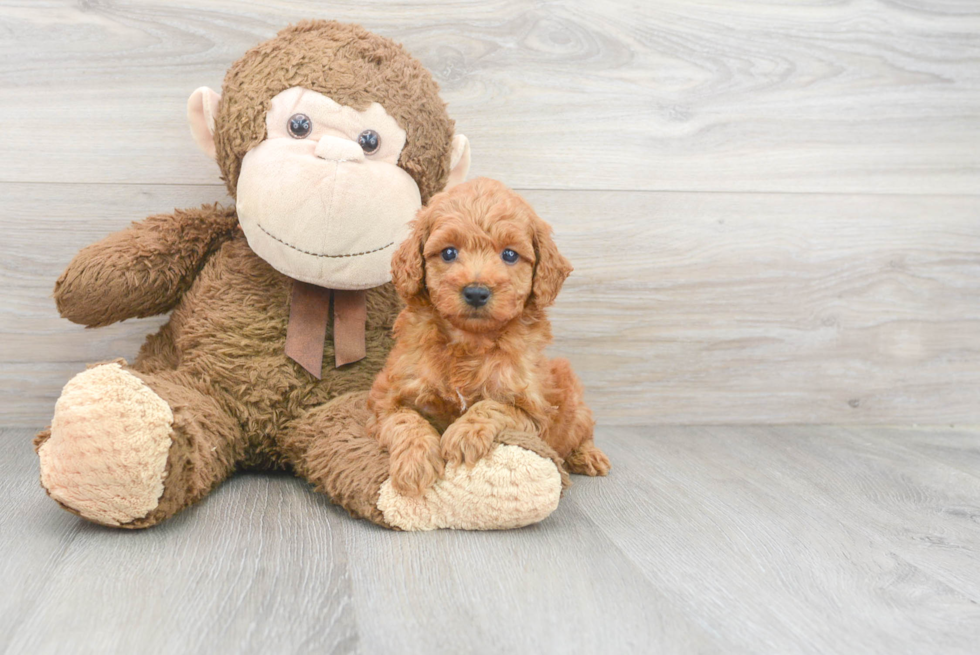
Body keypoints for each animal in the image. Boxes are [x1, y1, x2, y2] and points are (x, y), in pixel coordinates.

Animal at [368, 177, 608, 494]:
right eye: (448, 252)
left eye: (509, 254)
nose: (476, 292)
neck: (469, 340)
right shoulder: (387, 397)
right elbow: (405, 420)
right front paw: (414, 463)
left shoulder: (534, 411)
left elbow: (494, 405)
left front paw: (464, 434)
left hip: (570, 396)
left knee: (581, 430)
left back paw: (589, 455)